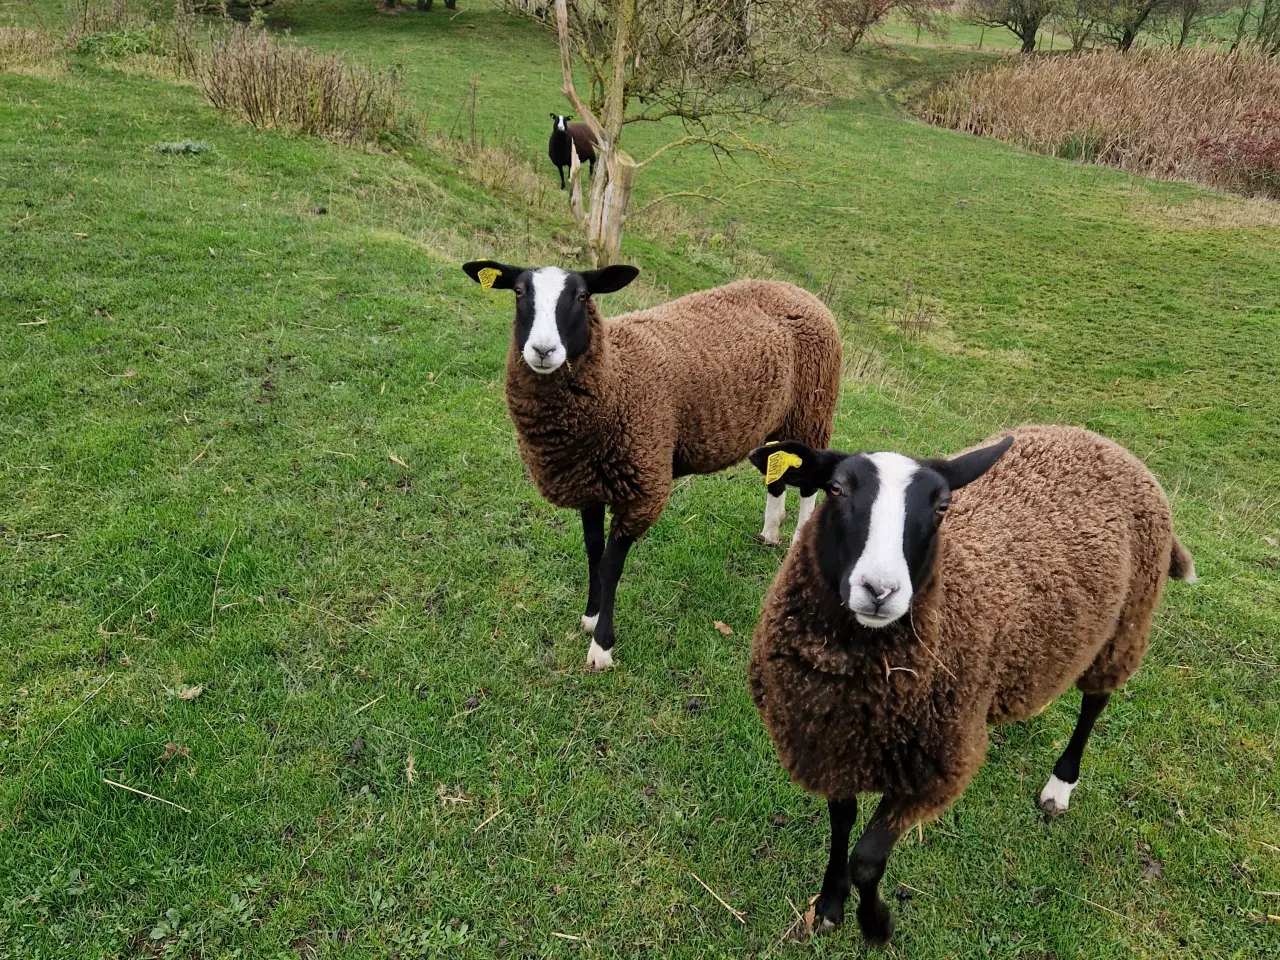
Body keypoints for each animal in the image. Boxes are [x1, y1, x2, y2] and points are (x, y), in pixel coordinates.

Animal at [460, 259, 839, 670]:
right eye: (518, 292)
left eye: (582, 296)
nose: (543, 350)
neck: (616, 377)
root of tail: (798, 291)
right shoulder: (589, 483)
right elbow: (593, 552)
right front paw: (590, 615)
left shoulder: (642, 489)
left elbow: (610, 566)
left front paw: (601, 645)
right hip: (775, 419)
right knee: (777, 471)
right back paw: (769, 532)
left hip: (812, 410)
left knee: (808, 482)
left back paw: (798, 539)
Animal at [747, 427, 1192, 947]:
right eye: (835, 489)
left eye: (942, 506)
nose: (880, 591)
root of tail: (1106, 443)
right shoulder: (831, 746)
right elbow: (841, 827)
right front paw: (830, 907)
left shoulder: (934, 771)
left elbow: (867, 860)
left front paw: (877, 925)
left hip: (1125, 626)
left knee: (1094, 704)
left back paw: (1060, 786)